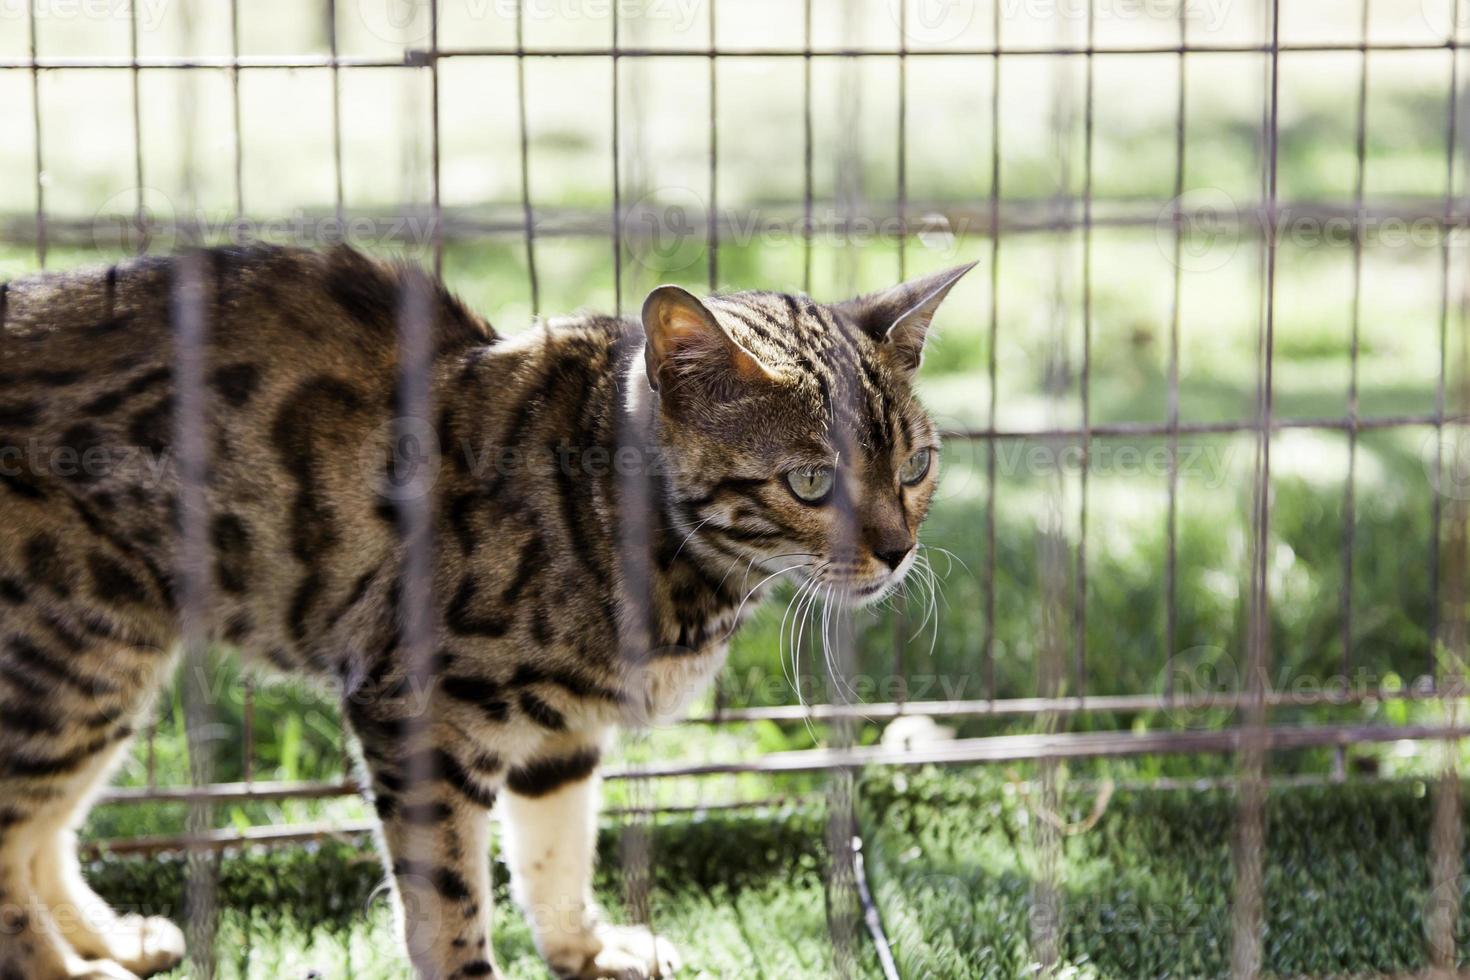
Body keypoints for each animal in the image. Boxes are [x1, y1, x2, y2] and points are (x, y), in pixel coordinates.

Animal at [0, 240, 970, 975]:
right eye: (810, 482)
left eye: (915, 467)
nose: (897, 550)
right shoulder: (415, 708)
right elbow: (446, 899)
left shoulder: (562, 732)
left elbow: (554, 850)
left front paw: (585, 949)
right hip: (74, 659)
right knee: (15, 837)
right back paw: (65, 968)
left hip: (105, 667)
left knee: (44, 829)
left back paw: (109, 939)